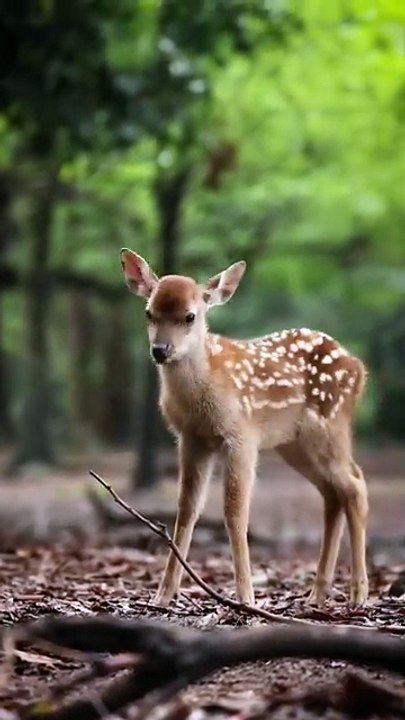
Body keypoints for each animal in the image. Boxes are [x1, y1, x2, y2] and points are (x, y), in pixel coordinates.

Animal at [120, 248, 369, 608]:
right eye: (149, 312)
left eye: (190, 316)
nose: (160, 350)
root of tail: (359, 369)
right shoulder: (191, 438)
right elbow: (187, 509)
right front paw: (162, 596)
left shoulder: (241, 435)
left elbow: (235, 513)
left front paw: (246, 597)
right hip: (295, 443)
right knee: (333, 494)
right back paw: (316, 594)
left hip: (330, 426)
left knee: (355, 485)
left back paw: (358, 593)